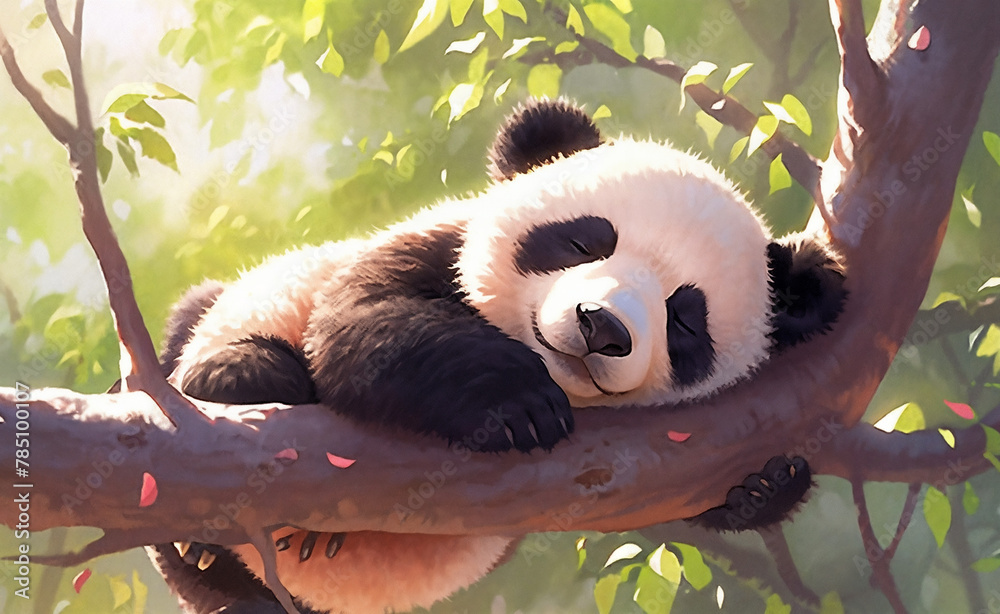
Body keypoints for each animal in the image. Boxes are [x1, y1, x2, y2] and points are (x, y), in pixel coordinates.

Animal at [150, 99, 846, 614]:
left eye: (684, 320)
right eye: (584, 241)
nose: (601, 326)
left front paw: (766, 484)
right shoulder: (436, 243)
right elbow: (364, 321)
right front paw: (517, 404)